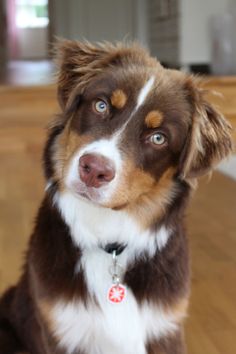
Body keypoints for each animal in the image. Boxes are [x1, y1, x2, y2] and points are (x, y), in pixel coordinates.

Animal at [0, 41, 232, 354]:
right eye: (101, 105)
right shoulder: (61, 331)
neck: (108, 242)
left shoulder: (165, 329)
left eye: (158, 138)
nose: (94, 170)